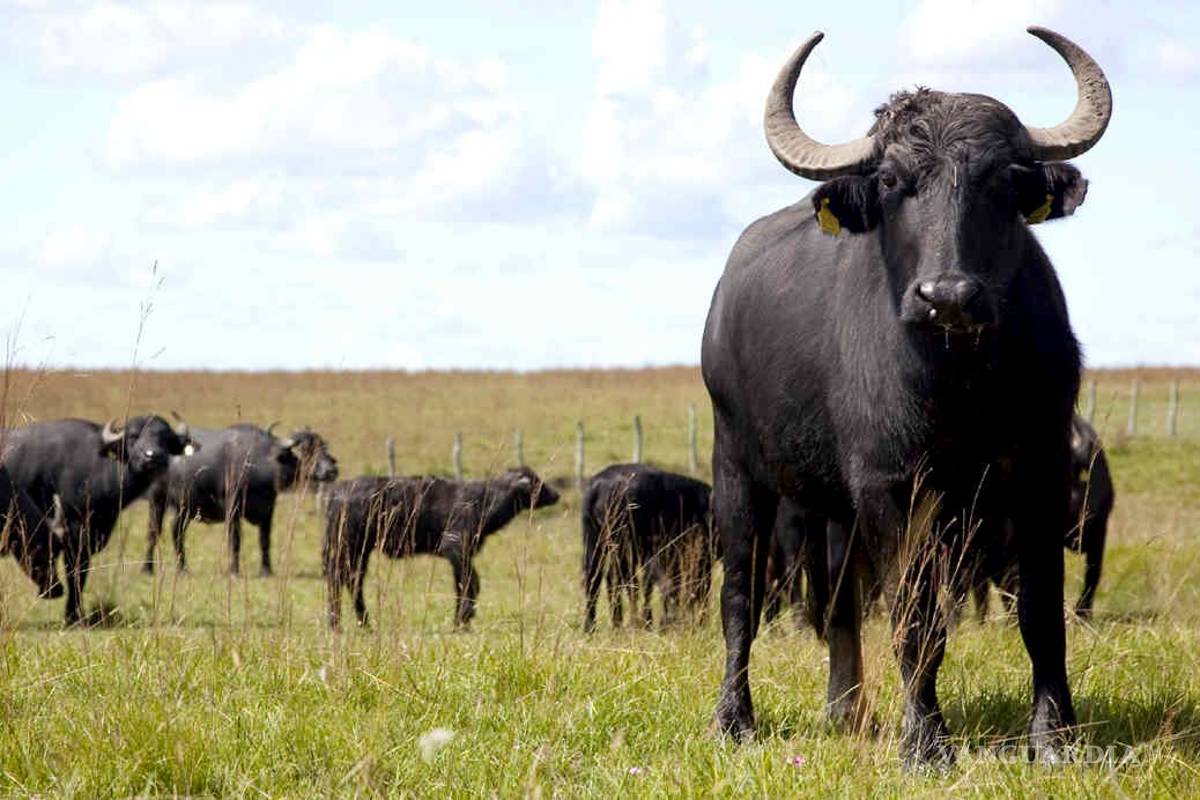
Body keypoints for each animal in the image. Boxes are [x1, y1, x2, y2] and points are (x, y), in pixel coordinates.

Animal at [1, 416, 192, 624]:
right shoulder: (75, 534)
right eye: (133, 436)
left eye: (165, 438)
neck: (99, 467)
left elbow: (81, 575)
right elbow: (76, 574)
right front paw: (74, 616)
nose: (152, 457)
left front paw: (75, 614)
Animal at [144, 424, 338, 576]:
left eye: (323, 447)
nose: (331, 470)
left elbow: (264, 540)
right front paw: (234, 571)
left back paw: (182, 569)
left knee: (176, 532)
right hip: (157, 501)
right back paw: (148, 568)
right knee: (154, 532)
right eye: (305, 450)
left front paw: (266, 570)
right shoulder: (233, 509)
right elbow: (235, 541)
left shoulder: (268, 509)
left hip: (184, 508)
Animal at [322, 467, 559, 629]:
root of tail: (337, 493)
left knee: (352, 580)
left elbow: (462, 584)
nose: (556, 494)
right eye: (536, 481)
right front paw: (463, 619)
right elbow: (471, 583)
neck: (483, 500)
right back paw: (338, 624)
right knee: (339, 578)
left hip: (360, 551)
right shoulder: (454, 548)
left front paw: (461, 619)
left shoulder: (460, 556)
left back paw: (362, 623)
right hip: (349, 546)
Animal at [581, 464, 714, 632]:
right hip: (622, 545)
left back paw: (595, 626)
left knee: (595, 580)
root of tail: (598, 486)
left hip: (596, 543)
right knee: (623, 581)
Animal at [701, 28, 1110, 766]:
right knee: (740, 594)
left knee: (837, 598)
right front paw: (925, 742)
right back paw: (734, 720)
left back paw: (845, 710)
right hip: (738, 470)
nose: (946, 296)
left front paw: (1055, 736)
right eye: (893, 181)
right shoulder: (893, 487)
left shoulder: (1040, 469)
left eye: (1000, 179)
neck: (961, 382)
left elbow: (1041, 610)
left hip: (836, 505)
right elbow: (916, 617)